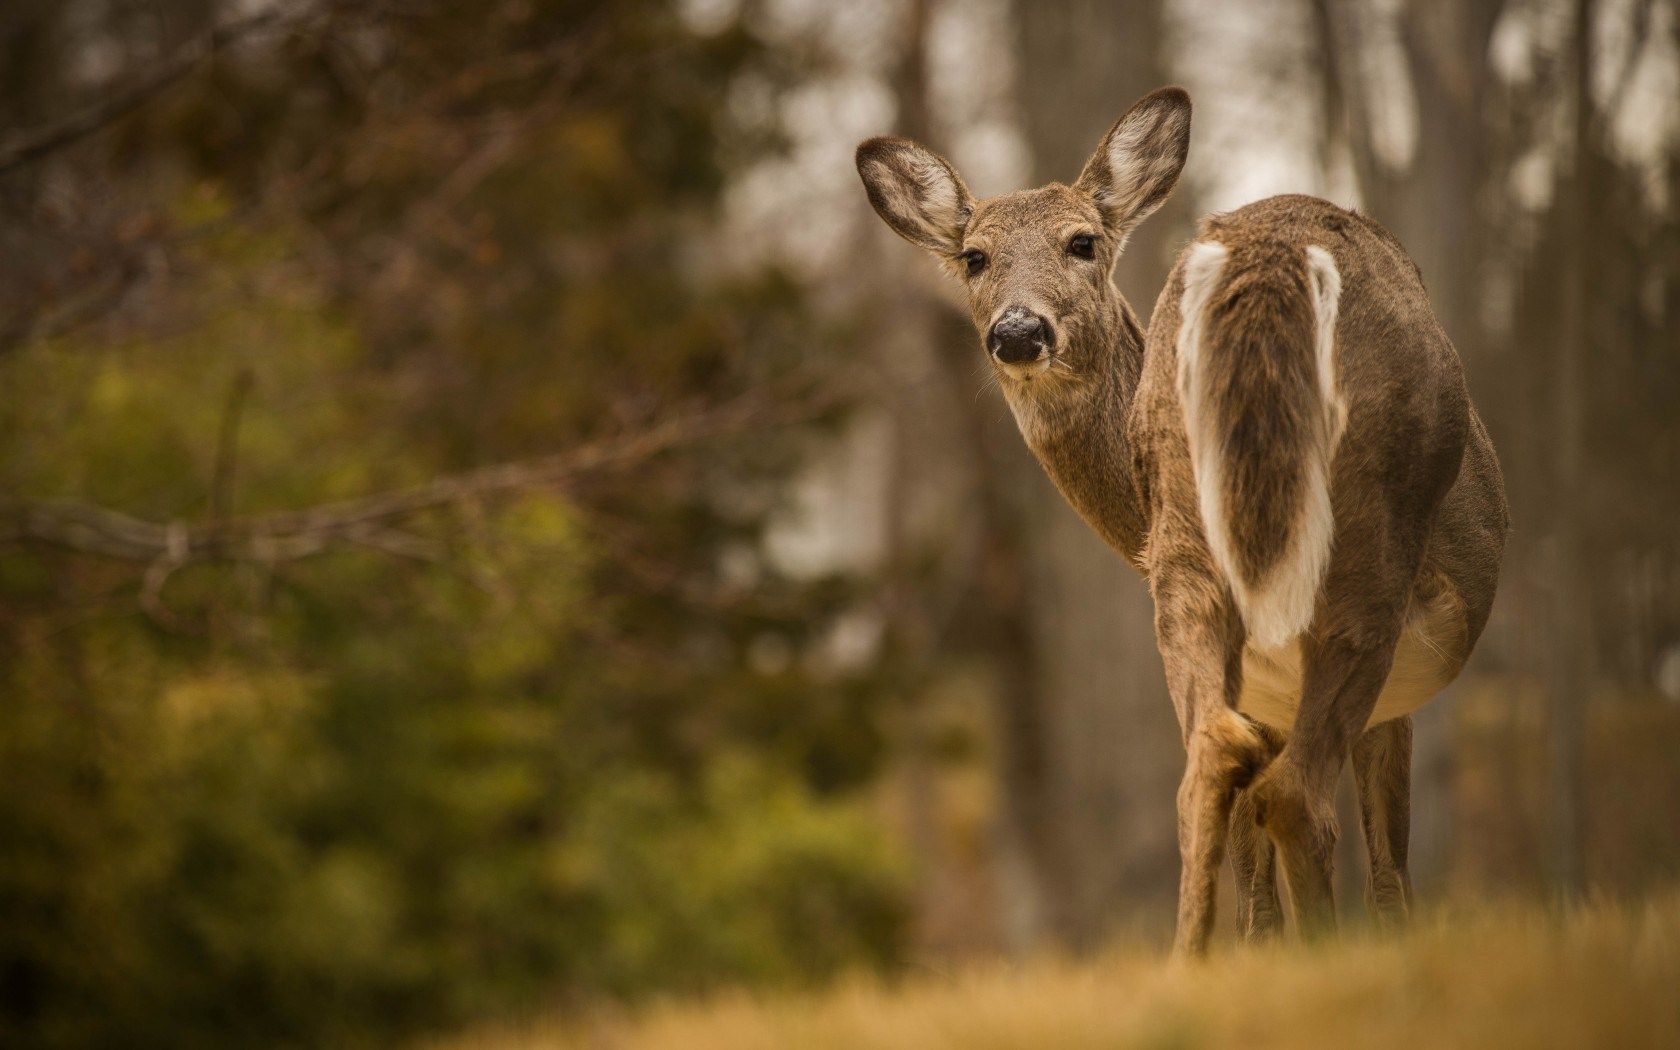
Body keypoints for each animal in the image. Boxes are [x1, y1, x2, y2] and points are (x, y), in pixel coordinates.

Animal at [853, 88, 1512, 960]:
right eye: (974, 257)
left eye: (1083, 242)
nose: (1019, 331)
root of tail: (1266, 264)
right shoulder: (1391, 681)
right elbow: (1387, 866)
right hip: (1372, 529)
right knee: (1297, 794)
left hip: (1189, 535)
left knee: (1214, 760)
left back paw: (1189, 964)